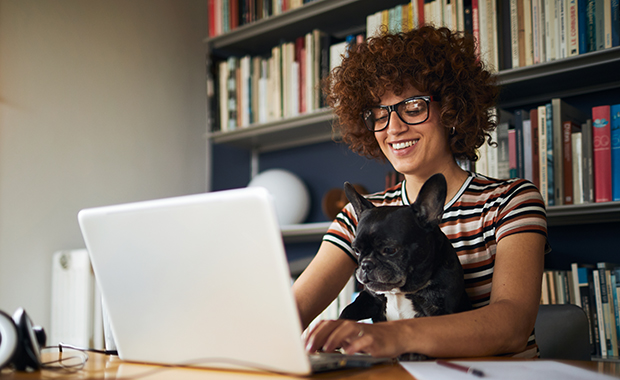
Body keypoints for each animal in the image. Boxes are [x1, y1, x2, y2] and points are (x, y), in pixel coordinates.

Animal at [340, 174, 470, 348]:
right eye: (357, 250)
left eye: (389, 250)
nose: (366, 264)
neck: (400, 291)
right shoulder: (370, 298)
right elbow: (348, 310)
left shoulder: (441, 312)